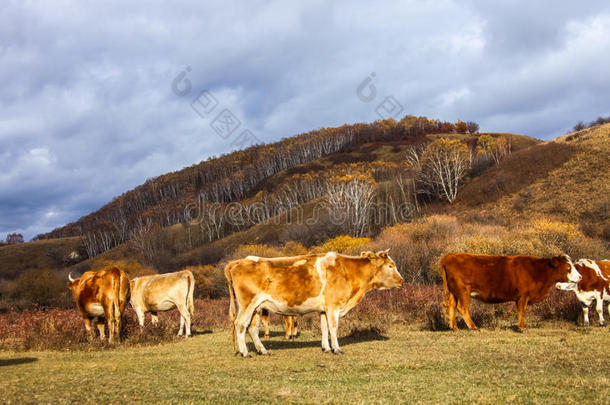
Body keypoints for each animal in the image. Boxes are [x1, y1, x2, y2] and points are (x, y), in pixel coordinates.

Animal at [226, 249, 402, 356]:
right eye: (391, 266)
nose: (402, 280)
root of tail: (238, 261)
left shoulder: (324, 309)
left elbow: (324, 328)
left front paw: (326, 348)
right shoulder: (333, 306)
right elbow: (333, 327)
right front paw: (337, 348)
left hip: (256, 308)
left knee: (252, 328)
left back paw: (262, 351)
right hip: (247, 304)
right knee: (240, 324)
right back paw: (245, 352)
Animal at [440, 252, 576, 332]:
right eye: (568, 267)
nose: (579, 277)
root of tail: (449, 256)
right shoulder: (523, 295)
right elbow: (522, 310)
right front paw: (522, 328)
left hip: (454, 292)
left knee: (451, 306)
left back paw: (455, 328)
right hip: (463, 290)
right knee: (462, 307)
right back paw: (473, 327)